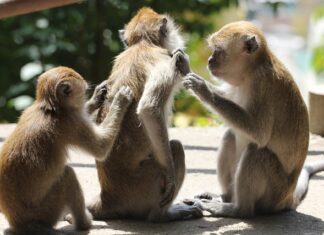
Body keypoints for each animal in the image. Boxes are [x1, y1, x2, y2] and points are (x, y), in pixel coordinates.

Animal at [0, 65, 133, 233]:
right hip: (46, 211)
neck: (50, 108)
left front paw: (97, 97)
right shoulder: (71, 122)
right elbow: (101, 147)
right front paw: (120, 101)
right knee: (67, 175)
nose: (87, 93)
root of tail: (17, 222)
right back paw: (83, 223)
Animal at [86, 6, 202, 221]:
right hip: (144, 187)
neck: (142, 44)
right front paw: (171, 179)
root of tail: (107, 198)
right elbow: (149, 109)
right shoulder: (165, 59)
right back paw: (162, 216)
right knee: (176, 147)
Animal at [181, 21, 324, 218]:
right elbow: (228, 96)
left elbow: (260, 133)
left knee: (257, 152)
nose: (210, 60)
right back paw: (225, 197)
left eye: (218, 50)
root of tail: (287, 198)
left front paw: (204, 91)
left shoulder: (262, 84)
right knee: (230, 135)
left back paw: (238, 209)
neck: (251, 70)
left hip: (273, 192)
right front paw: (184, 67)